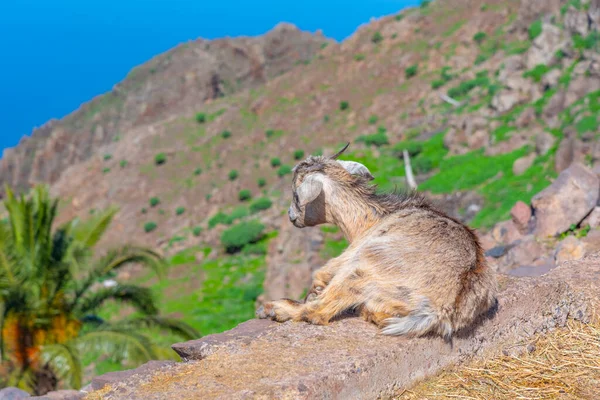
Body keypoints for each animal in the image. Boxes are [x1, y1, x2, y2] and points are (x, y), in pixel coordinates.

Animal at [255, 143, 500, 338]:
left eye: (296, 194)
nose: (291, 216)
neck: (369, 219)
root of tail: (439, 309)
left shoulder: (352, 252)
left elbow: (321, 274)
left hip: (364, 264)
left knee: (319, 311)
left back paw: (274, 309)